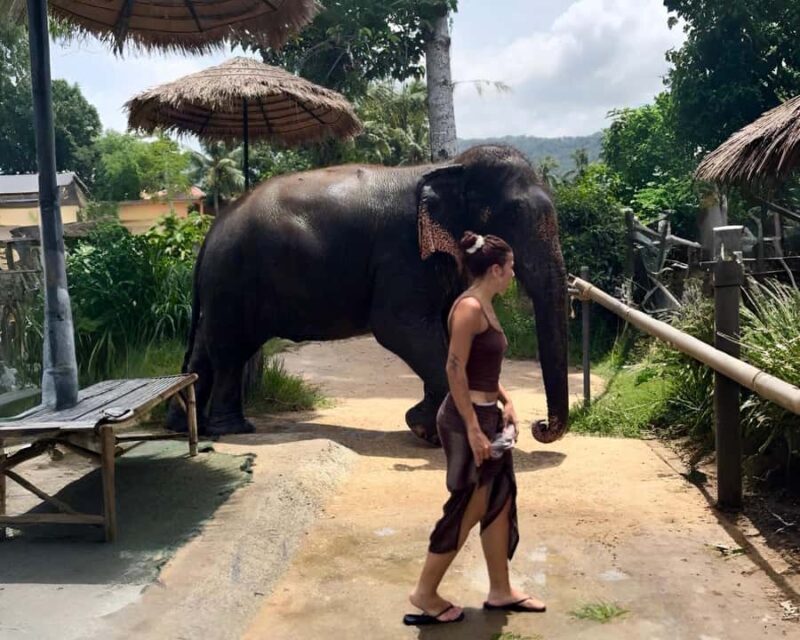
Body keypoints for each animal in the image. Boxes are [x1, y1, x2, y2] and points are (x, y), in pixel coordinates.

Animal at [168, 144, 569, 445]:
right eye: (514, 214)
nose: (539, 426)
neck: (450, 165)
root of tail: (211, 229)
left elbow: (443, 329)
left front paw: (426, 427)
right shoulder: (404, 252)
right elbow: (398, 327)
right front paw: (431, 428)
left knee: (207, 346)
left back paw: (181, 426)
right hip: (232, 281)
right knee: (231, 349)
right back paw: (233, 429)